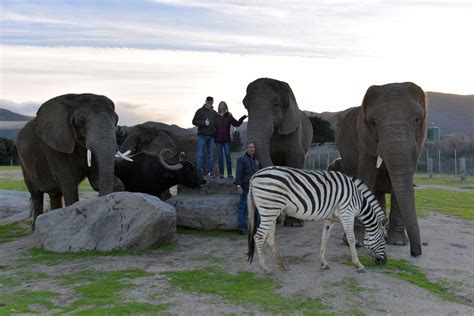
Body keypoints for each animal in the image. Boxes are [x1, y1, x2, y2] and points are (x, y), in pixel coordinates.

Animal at [16, 94, 124, 230]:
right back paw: (35, 230)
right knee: (36, 195)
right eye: (82, 121)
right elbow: (69, 183)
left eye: (116, 121)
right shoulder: (54, 145)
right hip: (24, 163)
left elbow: (96, 181)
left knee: (55, 195)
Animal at [243, 78, 312, 227]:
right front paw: (277, 218)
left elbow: (296, 158)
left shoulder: (294, 128)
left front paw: (294, 223)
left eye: (276, 104)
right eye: (245, 105)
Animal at [246, 165, 386, 274]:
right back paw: (266, 267)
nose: (384, 261)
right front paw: (358, 264)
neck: (358, 198)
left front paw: (324, 263)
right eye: (384, 238)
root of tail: (255, 175)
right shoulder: (347, 213)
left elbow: (325, 238)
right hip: (270, 208)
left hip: (272, 211)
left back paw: (282, 264)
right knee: (259, 236)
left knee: (269, 238)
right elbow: (351, 239)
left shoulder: (331, 218)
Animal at [336, 82, 426, 256]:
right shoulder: (364, 142)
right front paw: (356, 242)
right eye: (373, 122)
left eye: (417, 119)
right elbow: (366, 177)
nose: (416, 252)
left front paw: (398, 242)